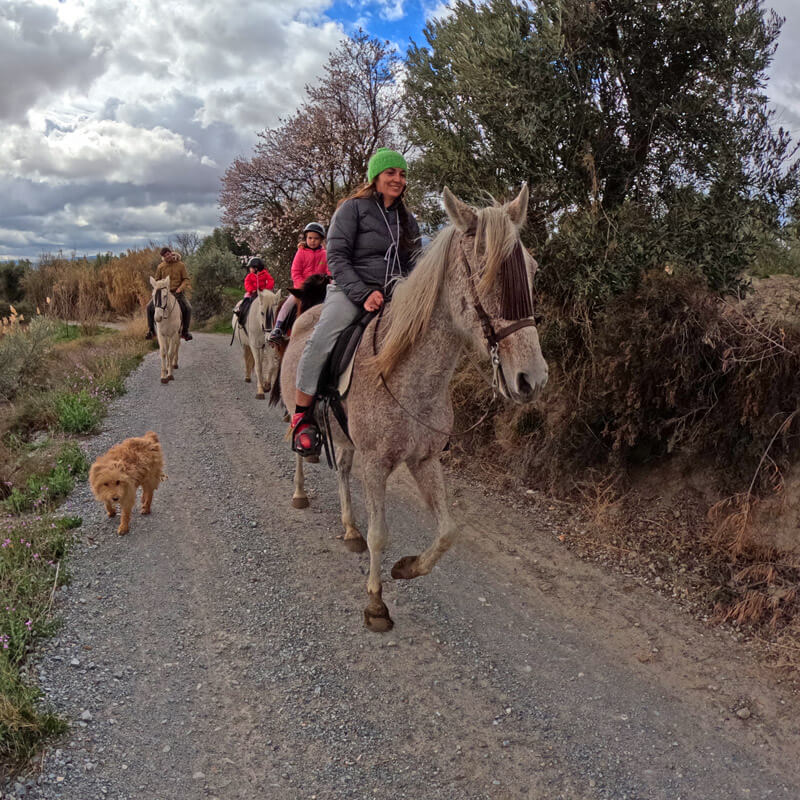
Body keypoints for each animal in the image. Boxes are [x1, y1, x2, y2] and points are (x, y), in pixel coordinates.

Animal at [279, 185, 549, 631]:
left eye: (532, 269)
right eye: (484, 272)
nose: (532, 378)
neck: (410, 378)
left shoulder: (424, 460)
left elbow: (448, 532)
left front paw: (406, 568)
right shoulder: (377, 464)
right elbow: (380, 534)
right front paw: (376, 604)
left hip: (345, 438)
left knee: (343, 473)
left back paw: (349, 529)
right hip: (302, 414)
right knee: (299, 450)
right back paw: (300, 493)